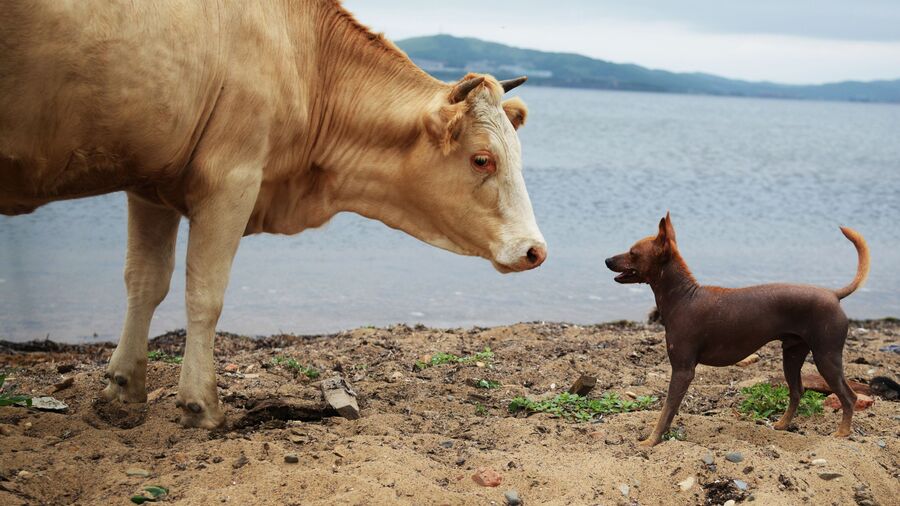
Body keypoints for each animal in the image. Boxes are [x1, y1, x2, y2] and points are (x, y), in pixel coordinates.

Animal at [0, 0, 548, 426]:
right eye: (482, 159)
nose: (536, 250)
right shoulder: (231, 179)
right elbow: (205, 293)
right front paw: (200, 404)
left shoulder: (150, 185)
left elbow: (145, 282)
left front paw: (122, 387)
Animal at [608, 213, 868, 446]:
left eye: (633, 253)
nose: (607, 260)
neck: (684, 297)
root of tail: (833, 295)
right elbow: (671, 411)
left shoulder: (682, 370)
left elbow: (666, 409)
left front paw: (651, 440)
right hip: (792, 355)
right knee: (797, 391)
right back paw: (782, 425)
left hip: (826, 357)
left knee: (849, 396)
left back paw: (842, 433)